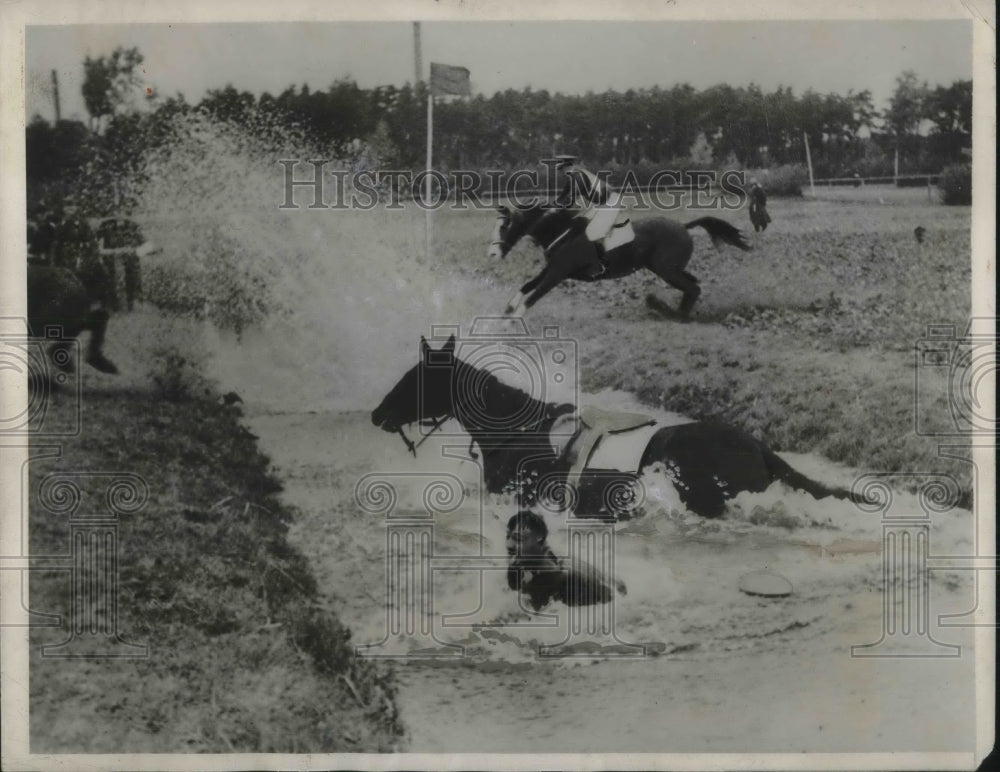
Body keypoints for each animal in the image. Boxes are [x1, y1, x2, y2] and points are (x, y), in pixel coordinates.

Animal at [484, 202, 752, 320]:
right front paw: (508, 308)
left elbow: (534, 295)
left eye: (505, 226)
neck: (562, 230)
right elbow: (527, 286)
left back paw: (673, 314)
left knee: (693, 287)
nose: (492, 255)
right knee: (693, 284)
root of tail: (684, 227)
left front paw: (513, 320)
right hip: (667, 269)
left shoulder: (558, 273)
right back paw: (673, 311)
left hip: (667, 271)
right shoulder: (553, 269)